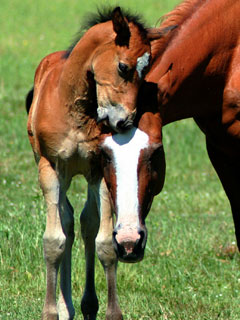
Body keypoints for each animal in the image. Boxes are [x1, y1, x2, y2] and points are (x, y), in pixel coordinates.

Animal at [26, 5, 170, 320]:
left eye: (146, 72)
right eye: (124, 67)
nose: (125, 122)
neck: (74, 109)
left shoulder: (99, 169)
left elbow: (104, 243)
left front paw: (111, 312)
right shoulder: (50, 168)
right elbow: (53, 241)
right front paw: (50, 312)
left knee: (85, 223)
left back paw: (86, 306)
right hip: (62, 173)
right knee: (67, 222)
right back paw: (66, 307)